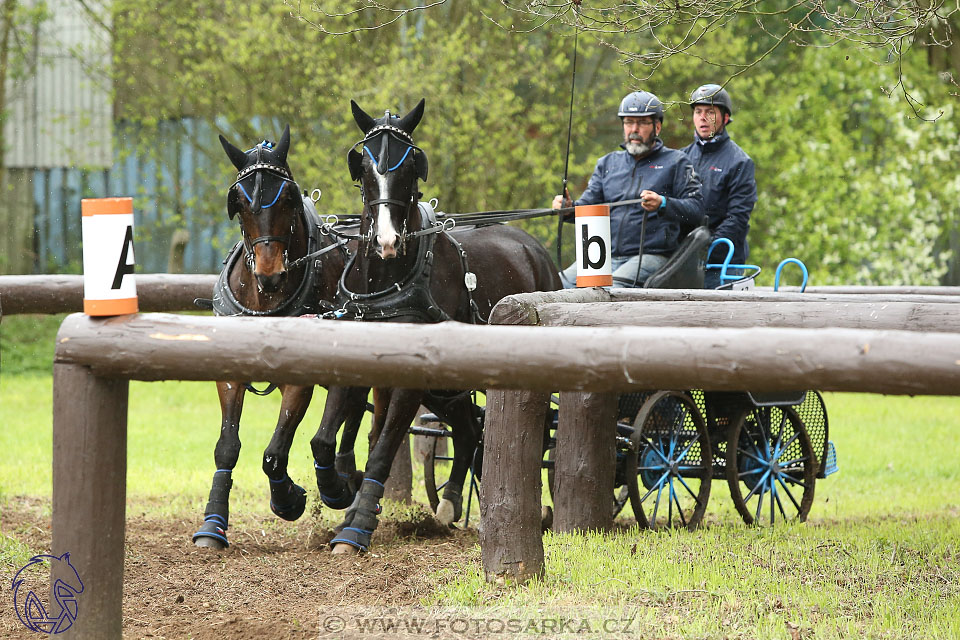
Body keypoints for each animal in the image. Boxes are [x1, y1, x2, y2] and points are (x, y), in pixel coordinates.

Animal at [191, 126, 356, 552]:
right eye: (238, 202)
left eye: (287, 198)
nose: (270, 275)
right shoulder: (229, 373)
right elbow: (227, 447)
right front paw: (212, 524)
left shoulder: (299, 378)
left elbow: (275, 452)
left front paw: (289, 499)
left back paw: (338, 488)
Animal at [312, 100, 560, 556]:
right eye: (363, 167)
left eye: (412, 166)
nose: (387, 242)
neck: (389, 278)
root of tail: (534, 248)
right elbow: (327, 439)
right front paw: (338, 492)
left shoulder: (411, 380)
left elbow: (383, 448)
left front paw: (357, 527)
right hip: (446, 387)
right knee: (468, 428)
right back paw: (449, 504)